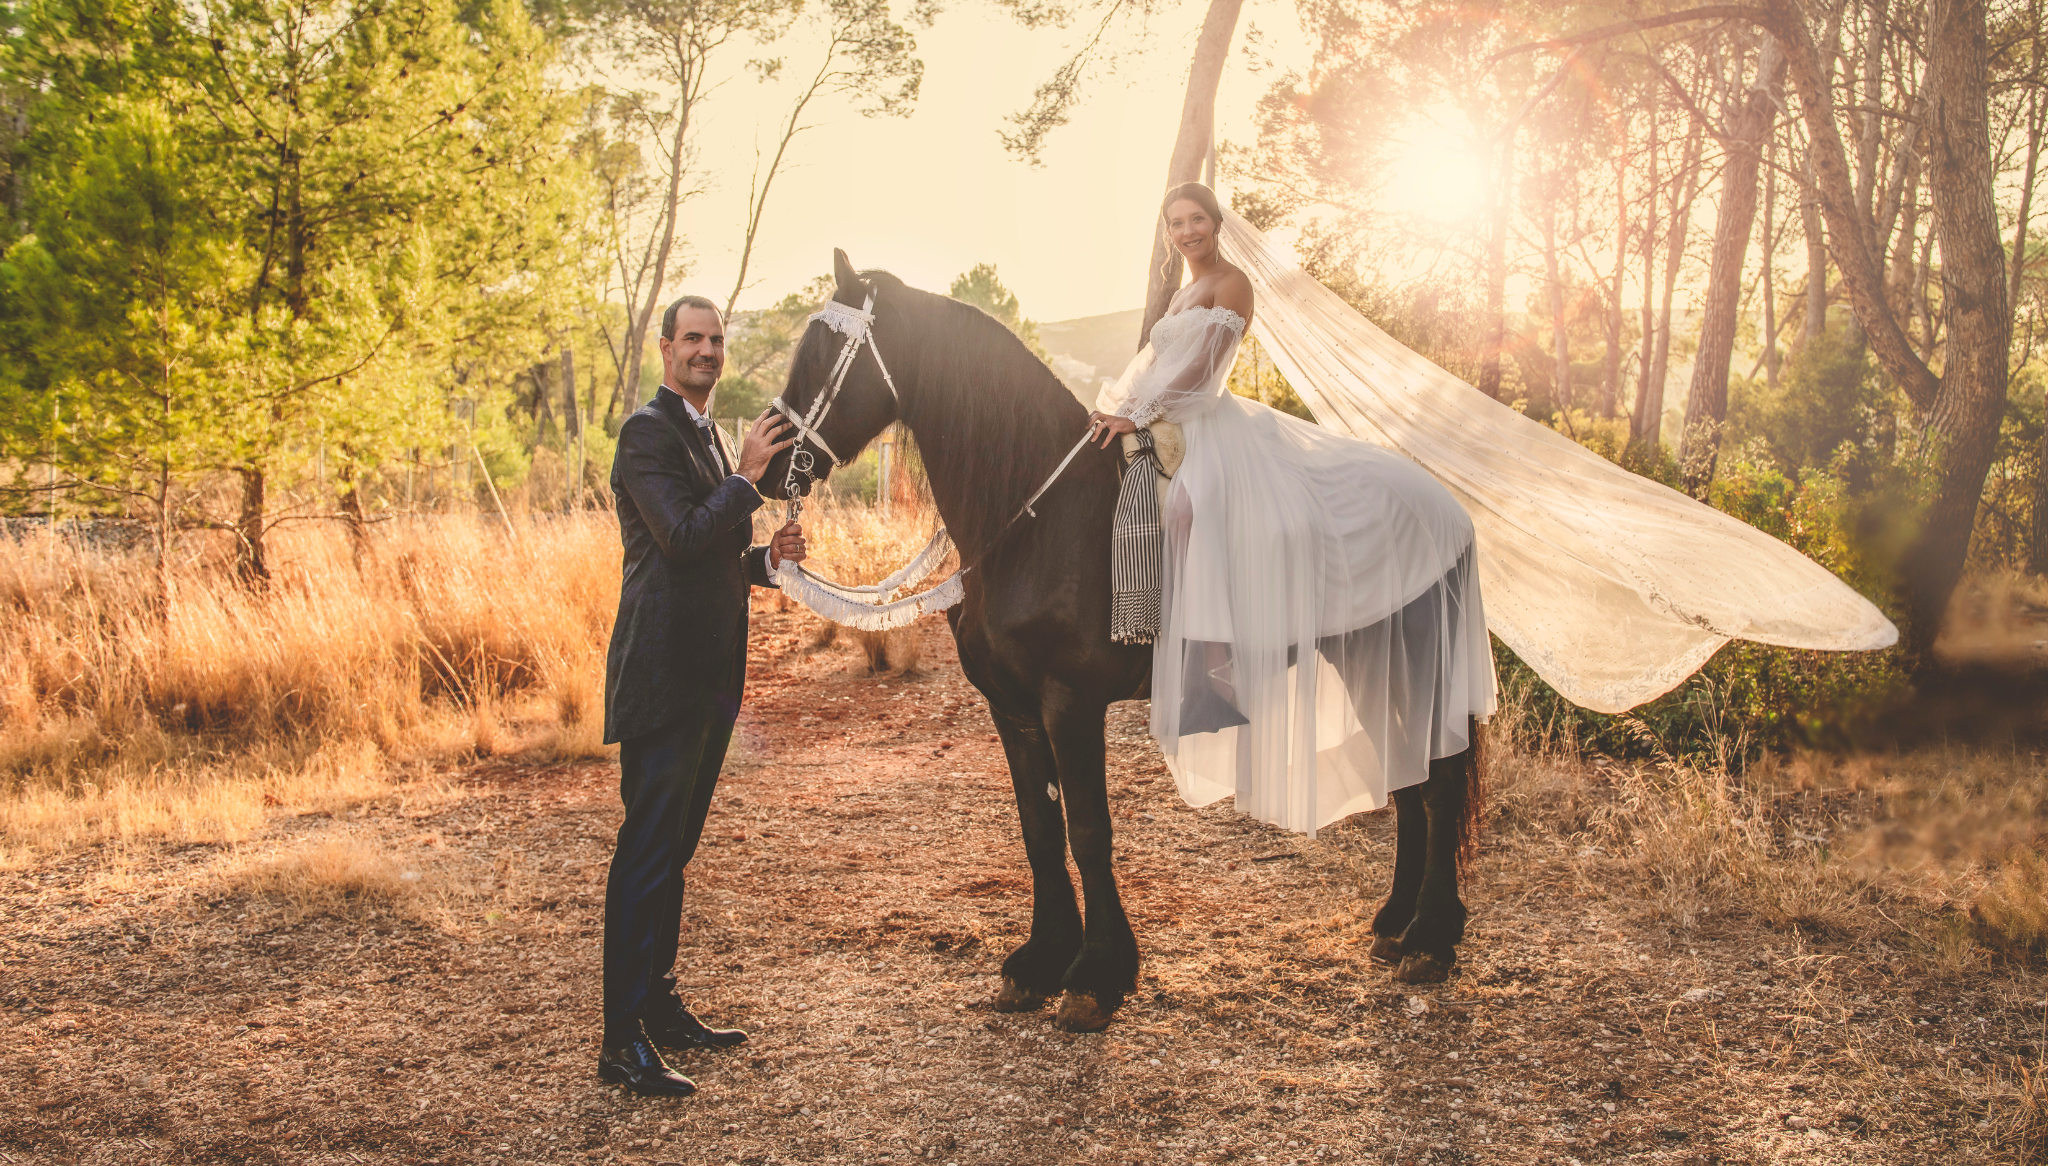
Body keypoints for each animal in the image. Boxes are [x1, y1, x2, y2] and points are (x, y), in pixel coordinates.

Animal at [761, 252, 1482, 1028]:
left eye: (825, 352)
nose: (768, 466)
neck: (1041, 517)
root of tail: (1446, 508)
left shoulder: (1069, 705)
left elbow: (1087, 830)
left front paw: (1096, 975)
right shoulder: (1012, 710)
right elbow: (1040, 831)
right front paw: (1041, 960)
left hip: (1410, 660)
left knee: (1438, 782)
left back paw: (1431, 938)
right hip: (1370, 659)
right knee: (1409, 778)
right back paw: (1396, 924)